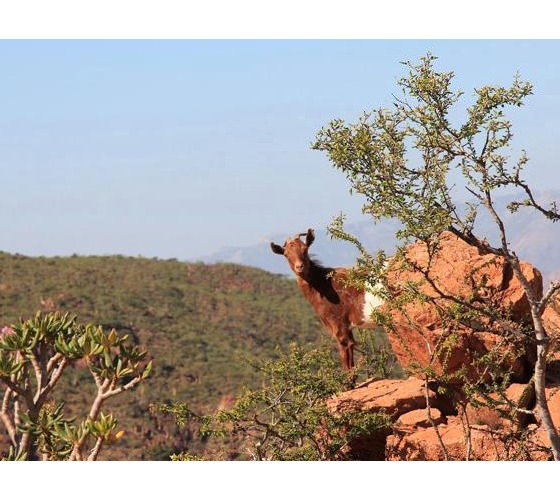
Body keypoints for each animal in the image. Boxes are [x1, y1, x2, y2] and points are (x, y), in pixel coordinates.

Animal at [272, 229, 384, 370]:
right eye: (286, 254)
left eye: (305, 249)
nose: (300, 267)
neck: (323, 284)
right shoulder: (346, 327)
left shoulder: (339, 323)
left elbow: (346, 360)